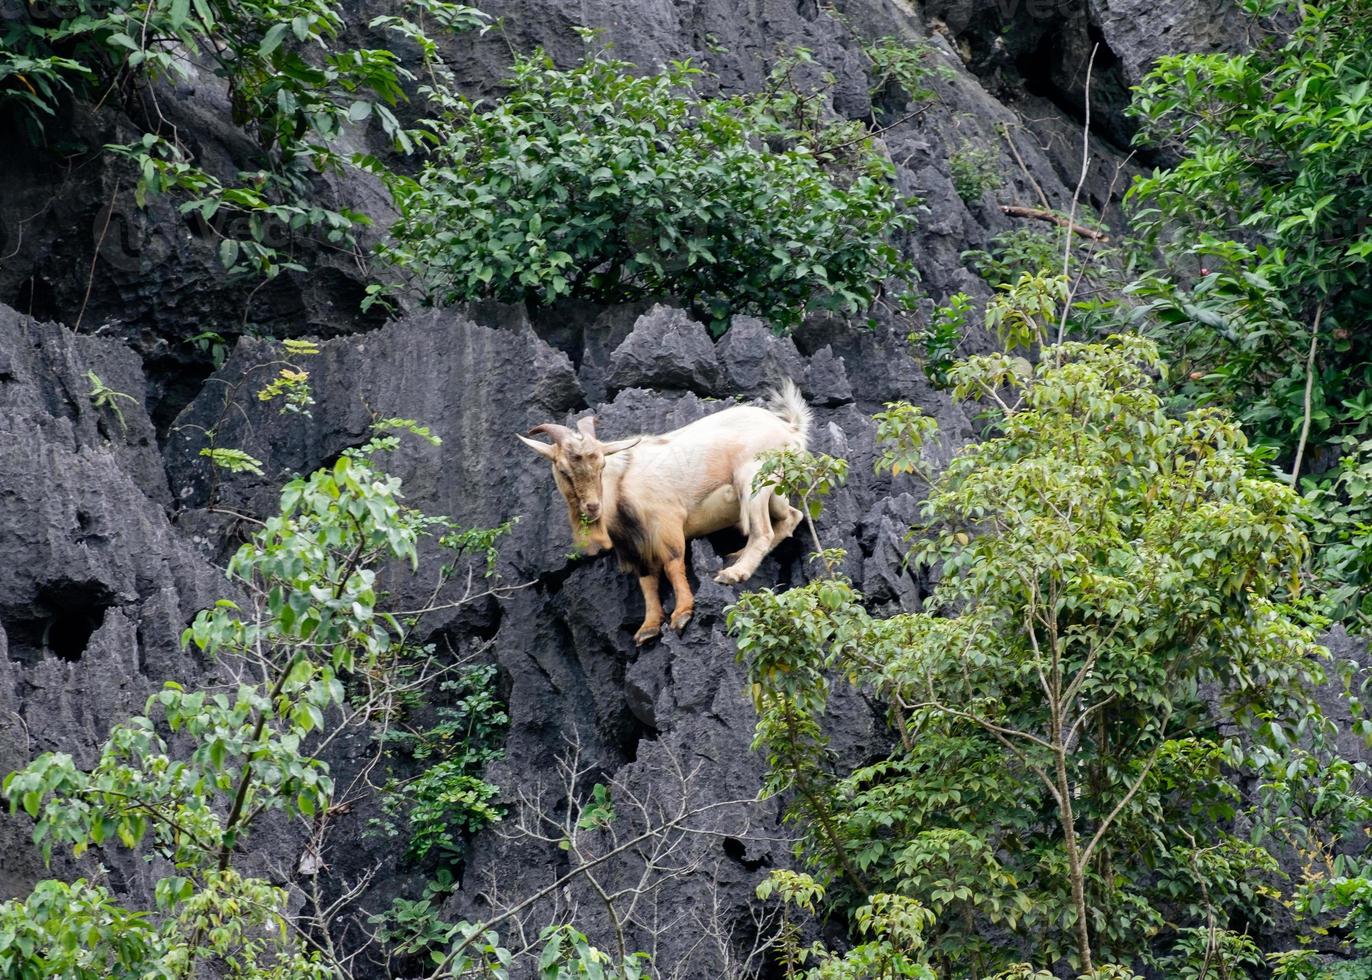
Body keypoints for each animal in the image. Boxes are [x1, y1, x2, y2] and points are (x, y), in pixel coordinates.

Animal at [518, 378, 806, 642]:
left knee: (763, 531)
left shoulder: (666, 522)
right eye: (563, 470)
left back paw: (733, 573)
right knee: (792, 516)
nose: (592, 506)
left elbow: (672, 564)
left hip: (754, 481)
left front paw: (682, 614)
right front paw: (648, 628)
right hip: (775, 489)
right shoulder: (632, 545)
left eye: (601, 465)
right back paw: (737, 556)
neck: (620, 484)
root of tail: (790, 428)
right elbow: (647, 581)